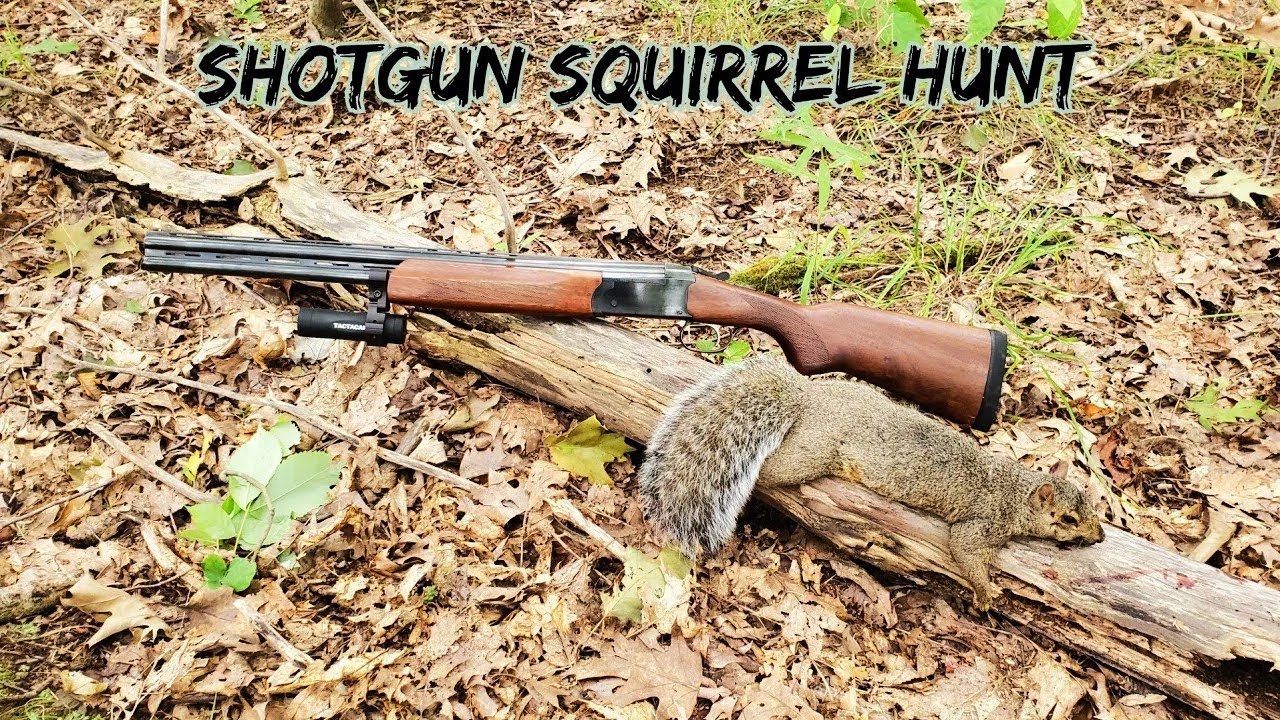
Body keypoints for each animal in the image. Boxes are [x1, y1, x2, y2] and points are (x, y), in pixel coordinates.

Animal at [638, 357, 1105, 610]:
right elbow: (964, 549)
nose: (1099, 536)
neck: (1013, 489)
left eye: (1090, 506)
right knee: (775, 470)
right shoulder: (980, 522)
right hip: (814, 452)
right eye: (1067, 519)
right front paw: (985, 590)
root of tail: (808, 397)